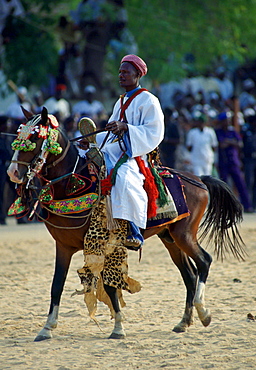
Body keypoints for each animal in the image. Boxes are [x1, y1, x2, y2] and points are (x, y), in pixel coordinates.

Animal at [7, 106, 245, 342]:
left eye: (35, 138)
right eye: (18, 137)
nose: (13, 173)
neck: (76, 185)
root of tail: (199, 179)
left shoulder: (104, 246)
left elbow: (110, 286)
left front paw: (118, 327)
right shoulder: (63, 245)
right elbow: (56, 285)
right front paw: (47, 328)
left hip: (184, 235)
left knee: (204, 262)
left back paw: (203, 312)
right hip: (170, 238)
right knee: (190, 275)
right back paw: (184, 322)